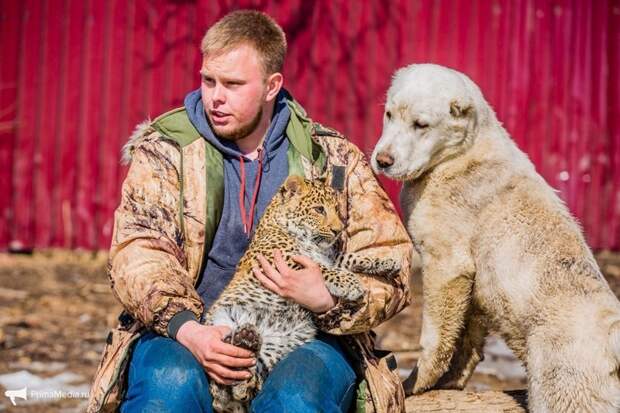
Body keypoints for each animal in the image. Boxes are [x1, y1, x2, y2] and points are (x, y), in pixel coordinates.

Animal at [370, 62, 620, 410]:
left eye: (421, 125)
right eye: (389, 114)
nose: (382, 160)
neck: (463, 152)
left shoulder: (448, 263)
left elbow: (436, 336)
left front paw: (414, 384)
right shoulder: (475, 286)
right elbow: (468, 337)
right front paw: (450, 381)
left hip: (562, 387)